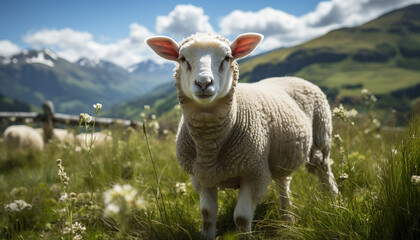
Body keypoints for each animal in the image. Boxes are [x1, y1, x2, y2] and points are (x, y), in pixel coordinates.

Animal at [146, 32, 340, 239]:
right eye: (182, 58)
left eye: (227, 58)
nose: (203, 83)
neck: (209, 148)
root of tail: (291, 77)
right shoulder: (201, 176)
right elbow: (207, 215)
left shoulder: (254, 173)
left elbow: (241, 218)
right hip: (279, 157)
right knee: (283, 182)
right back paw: (288, 219)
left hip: (320, 138)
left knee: (324, 172)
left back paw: (334, 203)